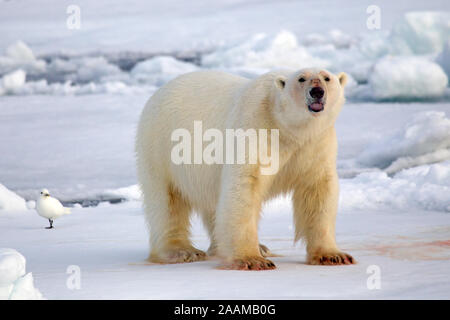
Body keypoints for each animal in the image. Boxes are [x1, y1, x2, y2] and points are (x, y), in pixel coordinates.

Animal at [135, 68, 354, 270]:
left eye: (327, 78)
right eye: (301, 79)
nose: (317, 91)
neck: (287, 128)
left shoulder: (316, 144)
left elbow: (318, 191)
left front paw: (333, 256)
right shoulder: (255, 127)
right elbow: (245, 186)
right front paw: (252, 259)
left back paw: (251, 247)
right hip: (161, 146)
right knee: (167, 201)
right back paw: (181, 251)